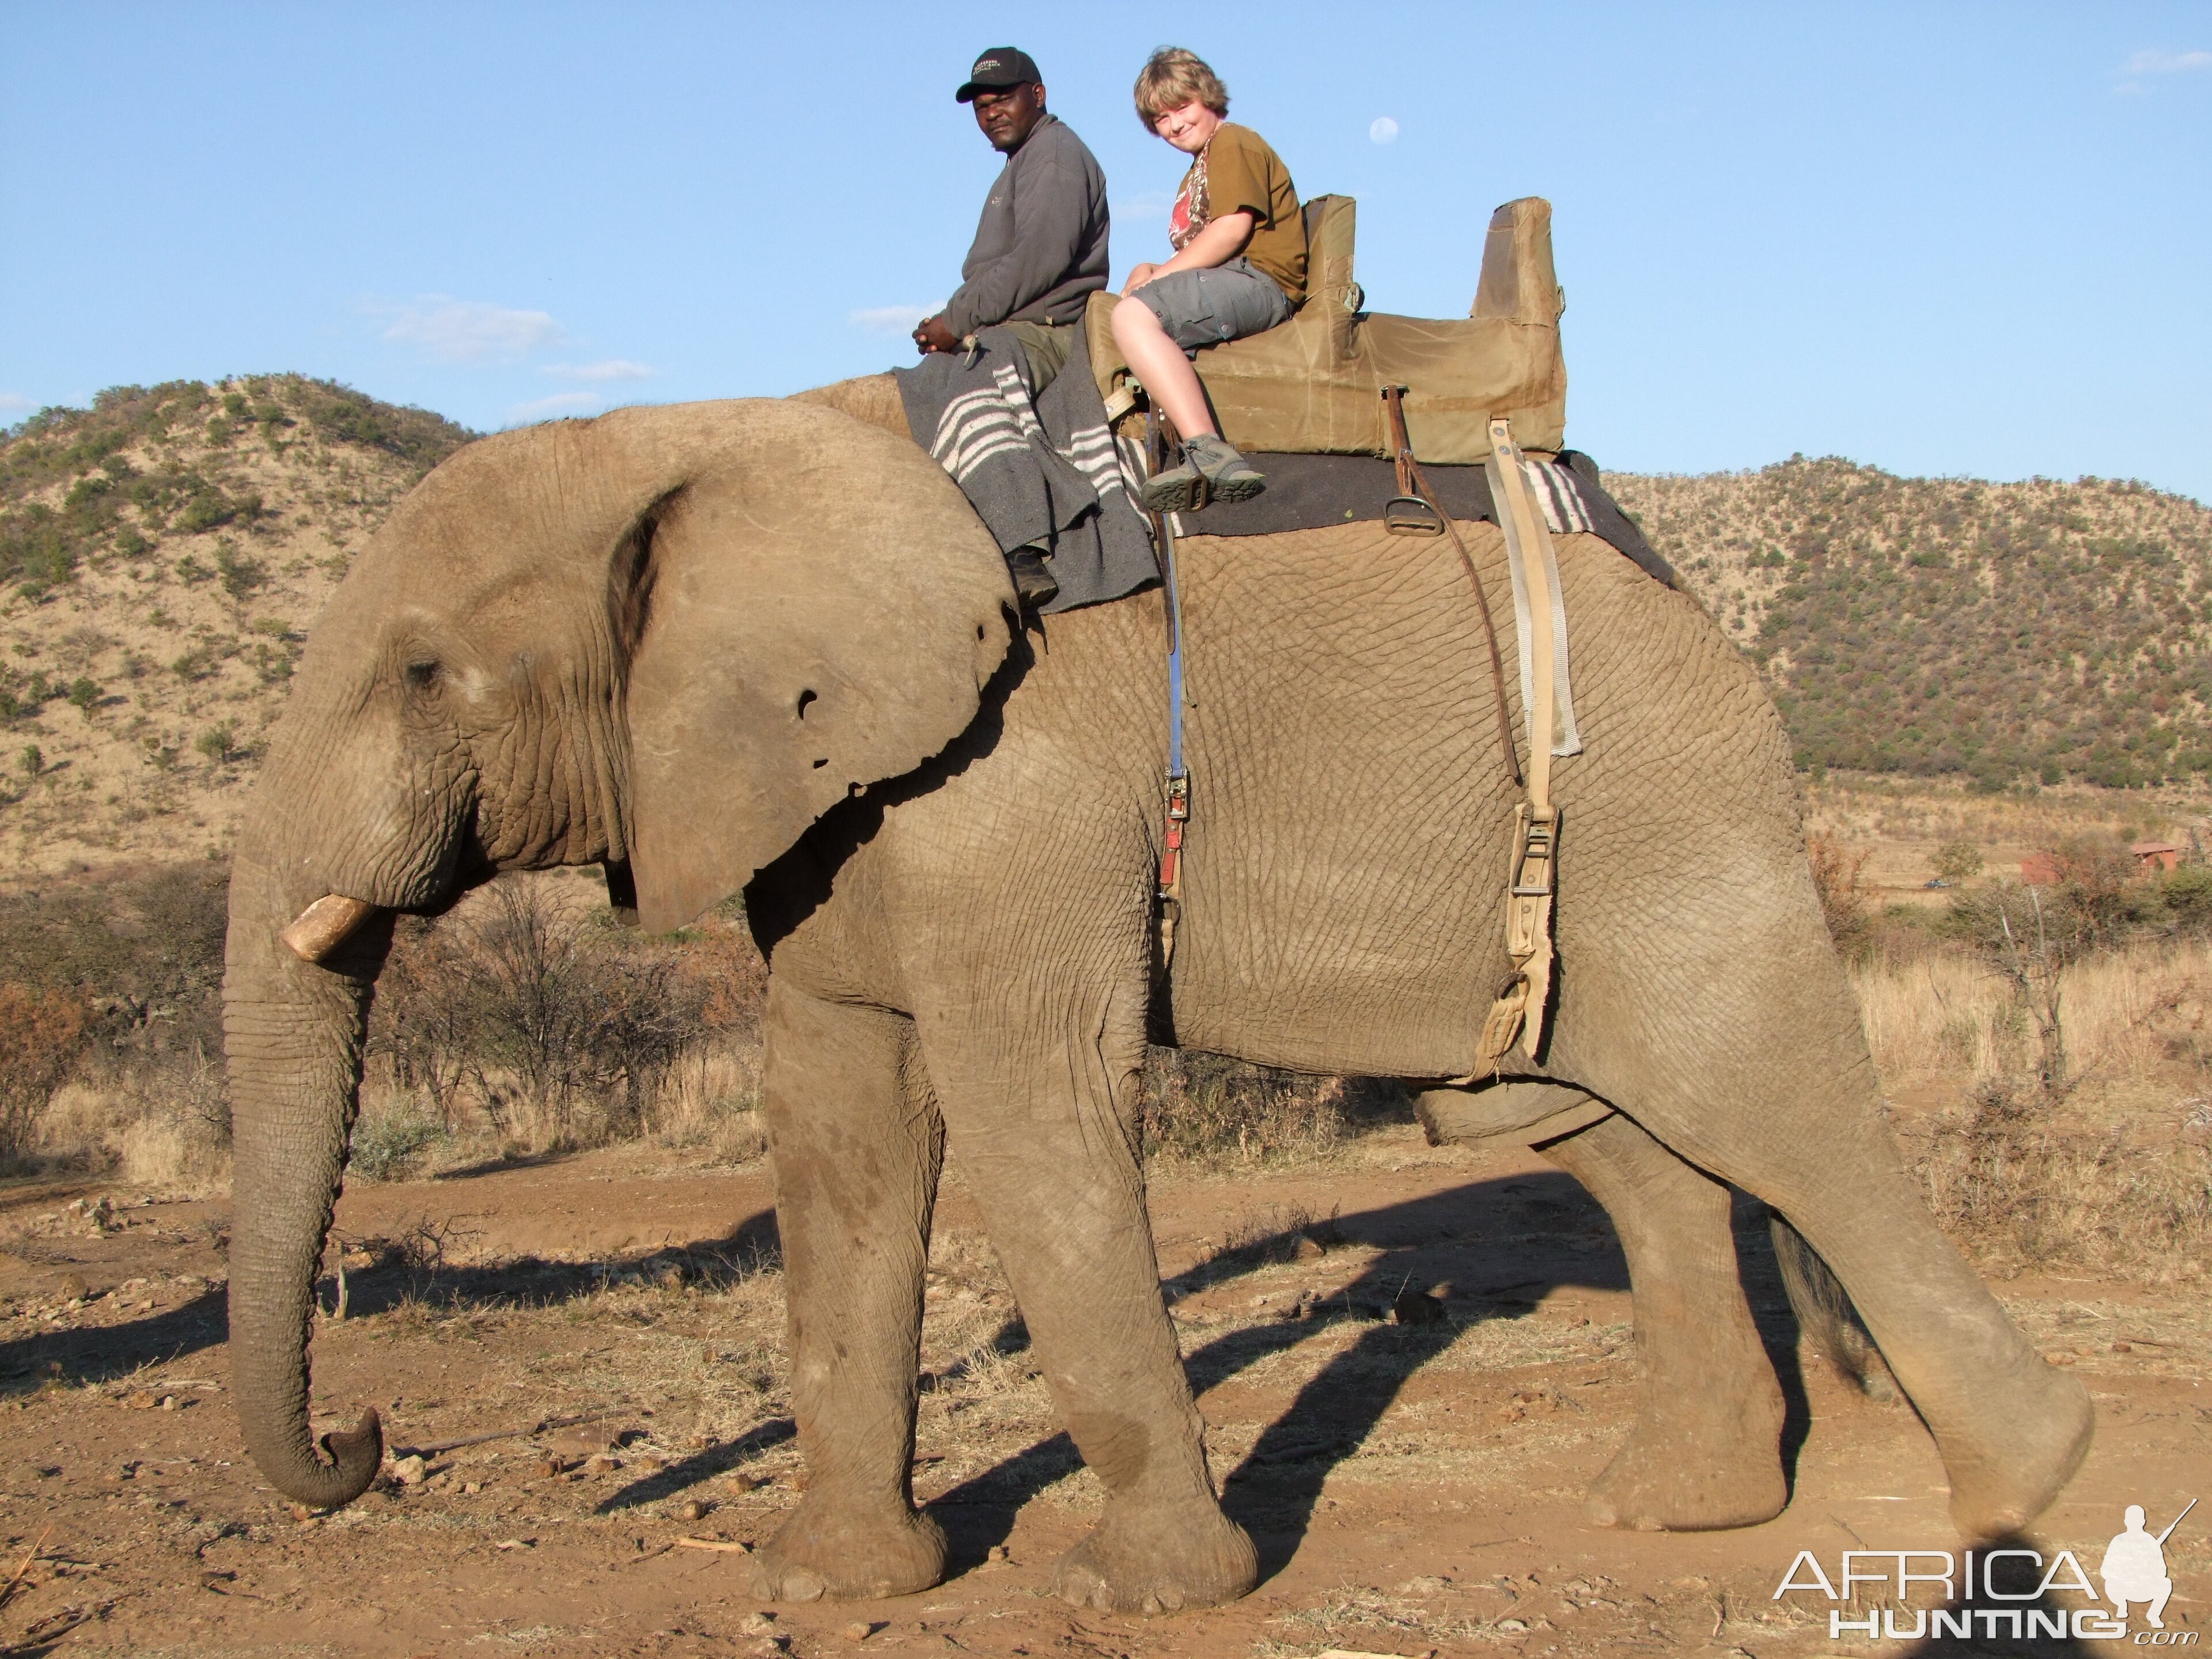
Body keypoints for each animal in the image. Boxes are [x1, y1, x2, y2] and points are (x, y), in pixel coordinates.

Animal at [224, 382, 2088, 1619]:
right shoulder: (827, 806)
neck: (701, 428)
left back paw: (2018, 1500)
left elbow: (1031, 1113)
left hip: (1677, 821)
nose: (365, 1438)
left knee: (1769, 1108)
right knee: (1598, 1134)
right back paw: (1672, 1514)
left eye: (424, 673)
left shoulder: (1011, 786)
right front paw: (840, 1584)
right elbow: (837, 1128)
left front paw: (1146, 1601)